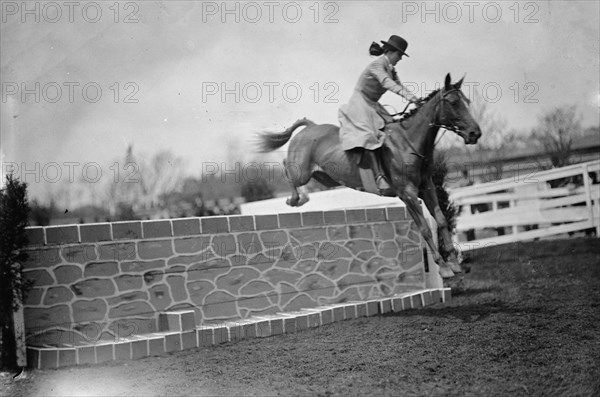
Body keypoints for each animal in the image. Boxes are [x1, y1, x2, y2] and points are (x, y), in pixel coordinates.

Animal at [258, 74, 482, 278]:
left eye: (467, 102)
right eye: (453, 103)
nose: (475, 133)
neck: (409, 143)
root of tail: (311, 126)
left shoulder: (426, 188)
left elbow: (441, 220)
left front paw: (454, 264)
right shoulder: (408, 194)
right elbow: (425, 228)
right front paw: (443, 268)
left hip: (325, 177)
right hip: (302, 173)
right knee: (287, 169)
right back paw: (295, 199)